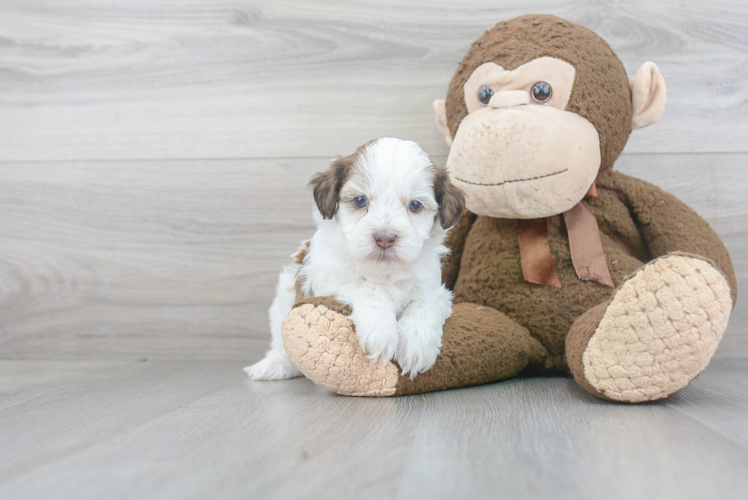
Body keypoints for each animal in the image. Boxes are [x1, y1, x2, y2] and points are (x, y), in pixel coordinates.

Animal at [245, 137, 464, 378]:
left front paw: (416, 347)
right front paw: (380, 332)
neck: (384, 271)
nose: (384, 238)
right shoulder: (324, 278)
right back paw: (275, 364)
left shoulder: (435, 290)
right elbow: (368, 287)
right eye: (360, 201)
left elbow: (425, 304)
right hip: (282, 301)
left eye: (415, 205)